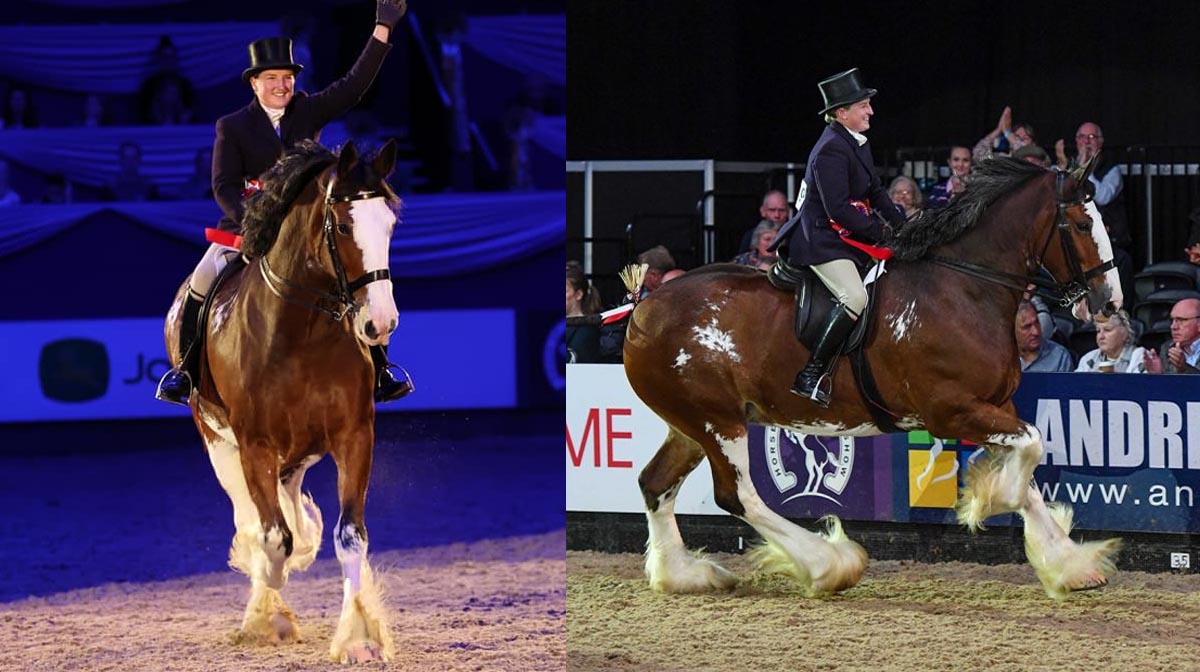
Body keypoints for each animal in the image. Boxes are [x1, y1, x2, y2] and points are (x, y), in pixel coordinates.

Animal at [164, 138, 403, 662]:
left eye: (391, 223)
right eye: (343, 225)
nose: (380, 323)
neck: (302, 333)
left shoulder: (354, 435)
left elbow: (349, 536)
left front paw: (360, 639)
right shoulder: (254, 446)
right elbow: (272, 538)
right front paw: (270, 603)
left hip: (298, 450)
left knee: (288, 502)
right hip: (217, 440)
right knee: (253, 518)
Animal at [628, 156, 1123, 597]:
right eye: (1083, 226)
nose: (1110, 302)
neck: (963, 288)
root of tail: (645, 310)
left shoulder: (996, 406)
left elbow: (1030, 464)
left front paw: (1070, 565)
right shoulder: (953, 411)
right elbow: (1032, 450)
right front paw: (996, 498)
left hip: (691, 425)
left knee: (655, 483)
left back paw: (683, 575)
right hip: (718, 422)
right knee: (736, 495)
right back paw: (828, 565)